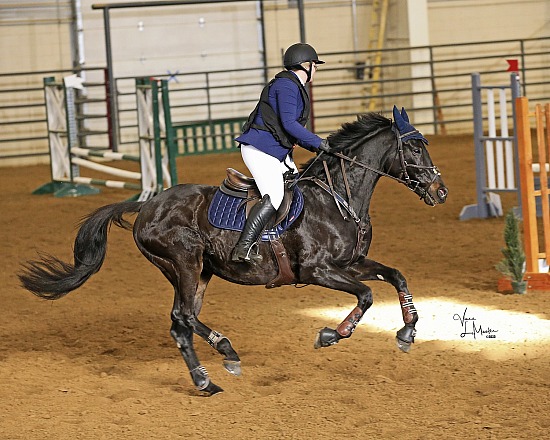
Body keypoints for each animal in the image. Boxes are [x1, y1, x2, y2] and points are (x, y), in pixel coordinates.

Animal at [18, 105, 448, 396]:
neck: (338, 196)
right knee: (183, 317)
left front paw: (407, 331)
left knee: (181, 323)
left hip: (199, 272)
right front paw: (331, 334)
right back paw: (226, 353)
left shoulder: (352, 262)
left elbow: (395, 276)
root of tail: (147, 204)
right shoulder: (318, 271)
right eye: (414, 150)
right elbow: (367, 294)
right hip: (185, 263)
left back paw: (204, 380)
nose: (440, 191)